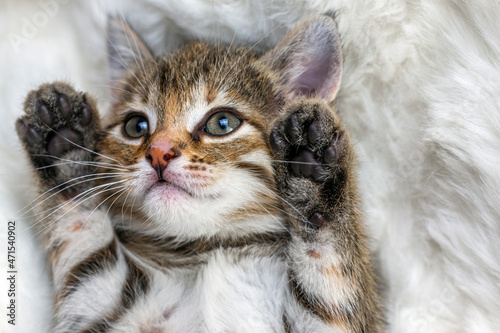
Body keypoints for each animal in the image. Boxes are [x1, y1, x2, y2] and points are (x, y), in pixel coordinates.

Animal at [15, 14, 382, 330]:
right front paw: (65, 150)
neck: (209, 250)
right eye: (136, 126)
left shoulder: (333, 319)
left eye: (222, 123)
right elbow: (82, 239)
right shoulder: (93, 305)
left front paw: (313, 177)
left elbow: (329, 271)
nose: (158, 153)